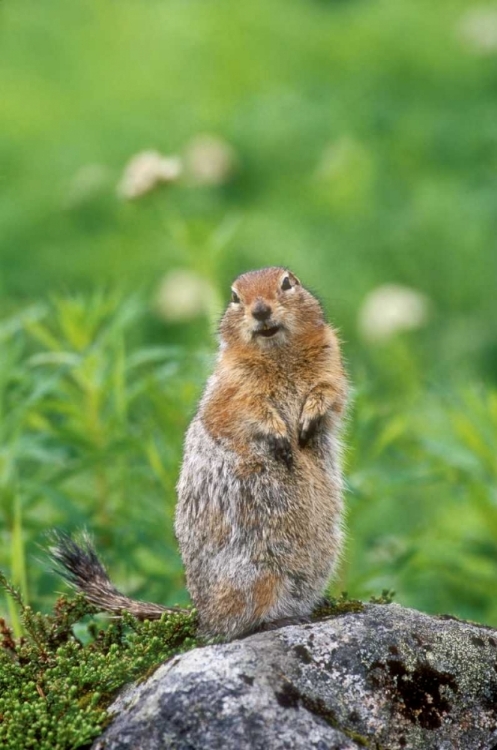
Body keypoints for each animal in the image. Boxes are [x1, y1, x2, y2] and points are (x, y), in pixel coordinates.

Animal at [49, 268, 344, 644]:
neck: (279, 354)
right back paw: (275, 621)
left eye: (288, 282)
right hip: (257, 576)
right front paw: (281, 439)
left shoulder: (331, 361)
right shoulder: (233, 385)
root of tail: (200, 615)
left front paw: (309, 422)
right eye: (234, 296)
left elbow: (330, 391)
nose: (260, 310)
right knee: (234, 628)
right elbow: (247, 410)